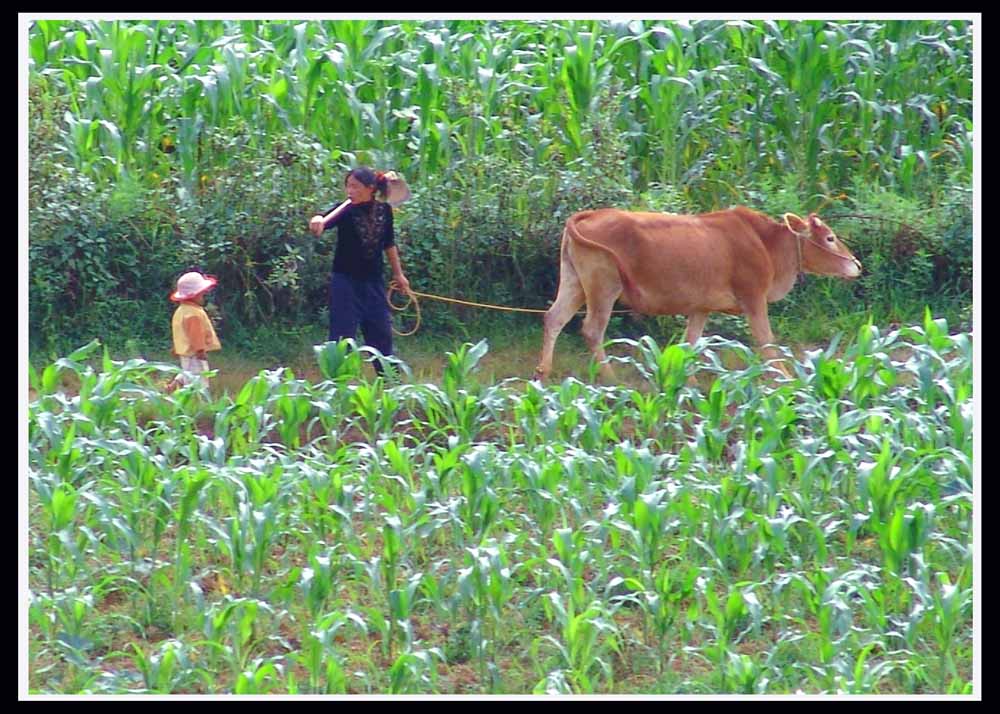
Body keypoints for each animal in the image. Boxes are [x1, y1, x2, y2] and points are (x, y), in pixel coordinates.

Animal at [536, 203, 864, 382]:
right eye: (830, 237)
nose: (857, 264)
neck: (766, 243)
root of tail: (588, 216)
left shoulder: (701, 307)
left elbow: (690, 343)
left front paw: (687, 380)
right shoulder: (753, 297)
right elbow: (767, 342)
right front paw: (784, 377)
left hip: (574, 282)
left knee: (554, 318)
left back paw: (542, 372)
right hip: (604, 285)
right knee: (592, 329)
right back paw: (612, 379)